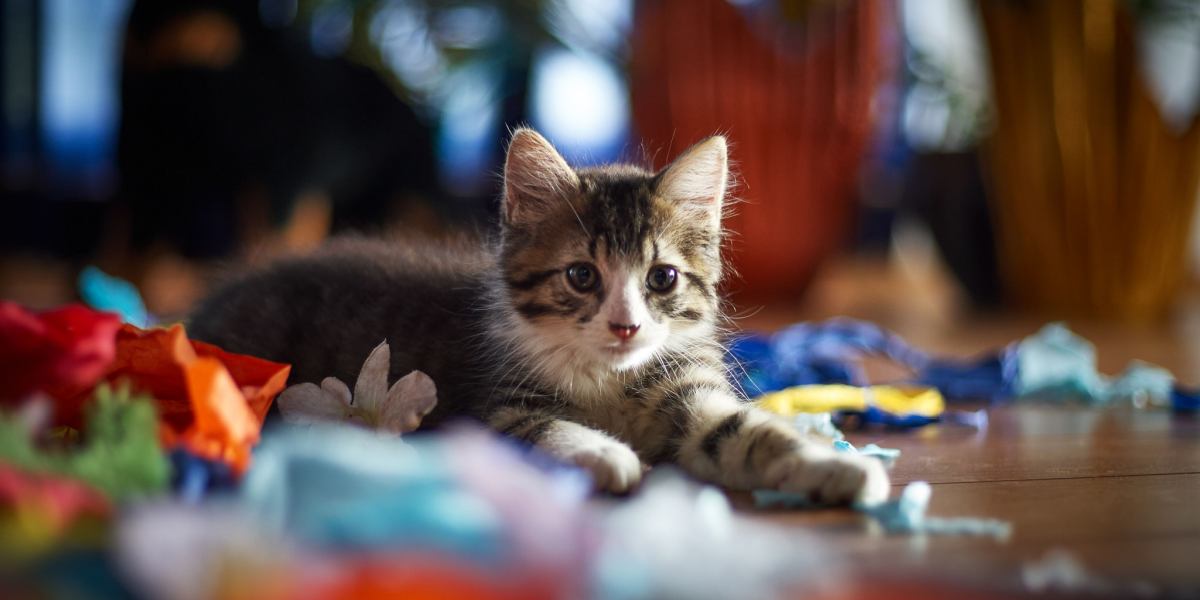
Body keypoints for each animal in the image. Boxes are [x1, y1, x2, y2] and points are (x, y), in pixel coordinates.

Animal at [189, 129, 892, 504]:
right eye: (582, 276)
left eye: (661, 278)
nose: (626, 326)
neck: (611, 381)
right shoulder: (493, 408)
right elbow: (550, 429)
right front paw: (606, 453)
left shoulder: (690, 391)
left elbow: (747, 432)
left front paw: (840, 467)